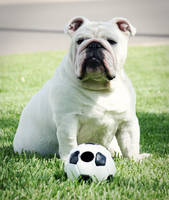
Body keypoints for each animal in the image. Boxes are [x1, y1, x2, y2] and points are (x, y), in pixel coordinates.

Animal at [13, 16, 150, 162]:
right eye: (80, 41)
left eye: (112, 41)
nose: (94, 44)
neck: (98, 86)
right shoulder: (67, 120)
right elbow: (69, 142)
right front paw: (69, 159)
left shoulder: (127, 122)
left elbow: (130, 144)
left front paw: (135, 159)